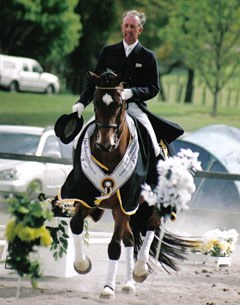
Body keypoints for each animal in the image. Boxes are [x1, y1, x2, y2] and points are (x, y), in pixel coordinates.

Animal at [53, 70, 195, 298]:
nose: (105, 143)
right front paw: (82, 265)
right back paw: (128, 284)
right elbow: (75, 225)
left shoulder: (124, 204)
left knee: (150, 227)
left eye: (119, 103)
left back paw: (139, 271)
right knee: (130, 238)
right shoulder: (86, 197)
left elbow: (113, 246)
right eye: (95, 102)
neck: (109, 155)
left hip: (151, 203)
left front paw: (108, 288)